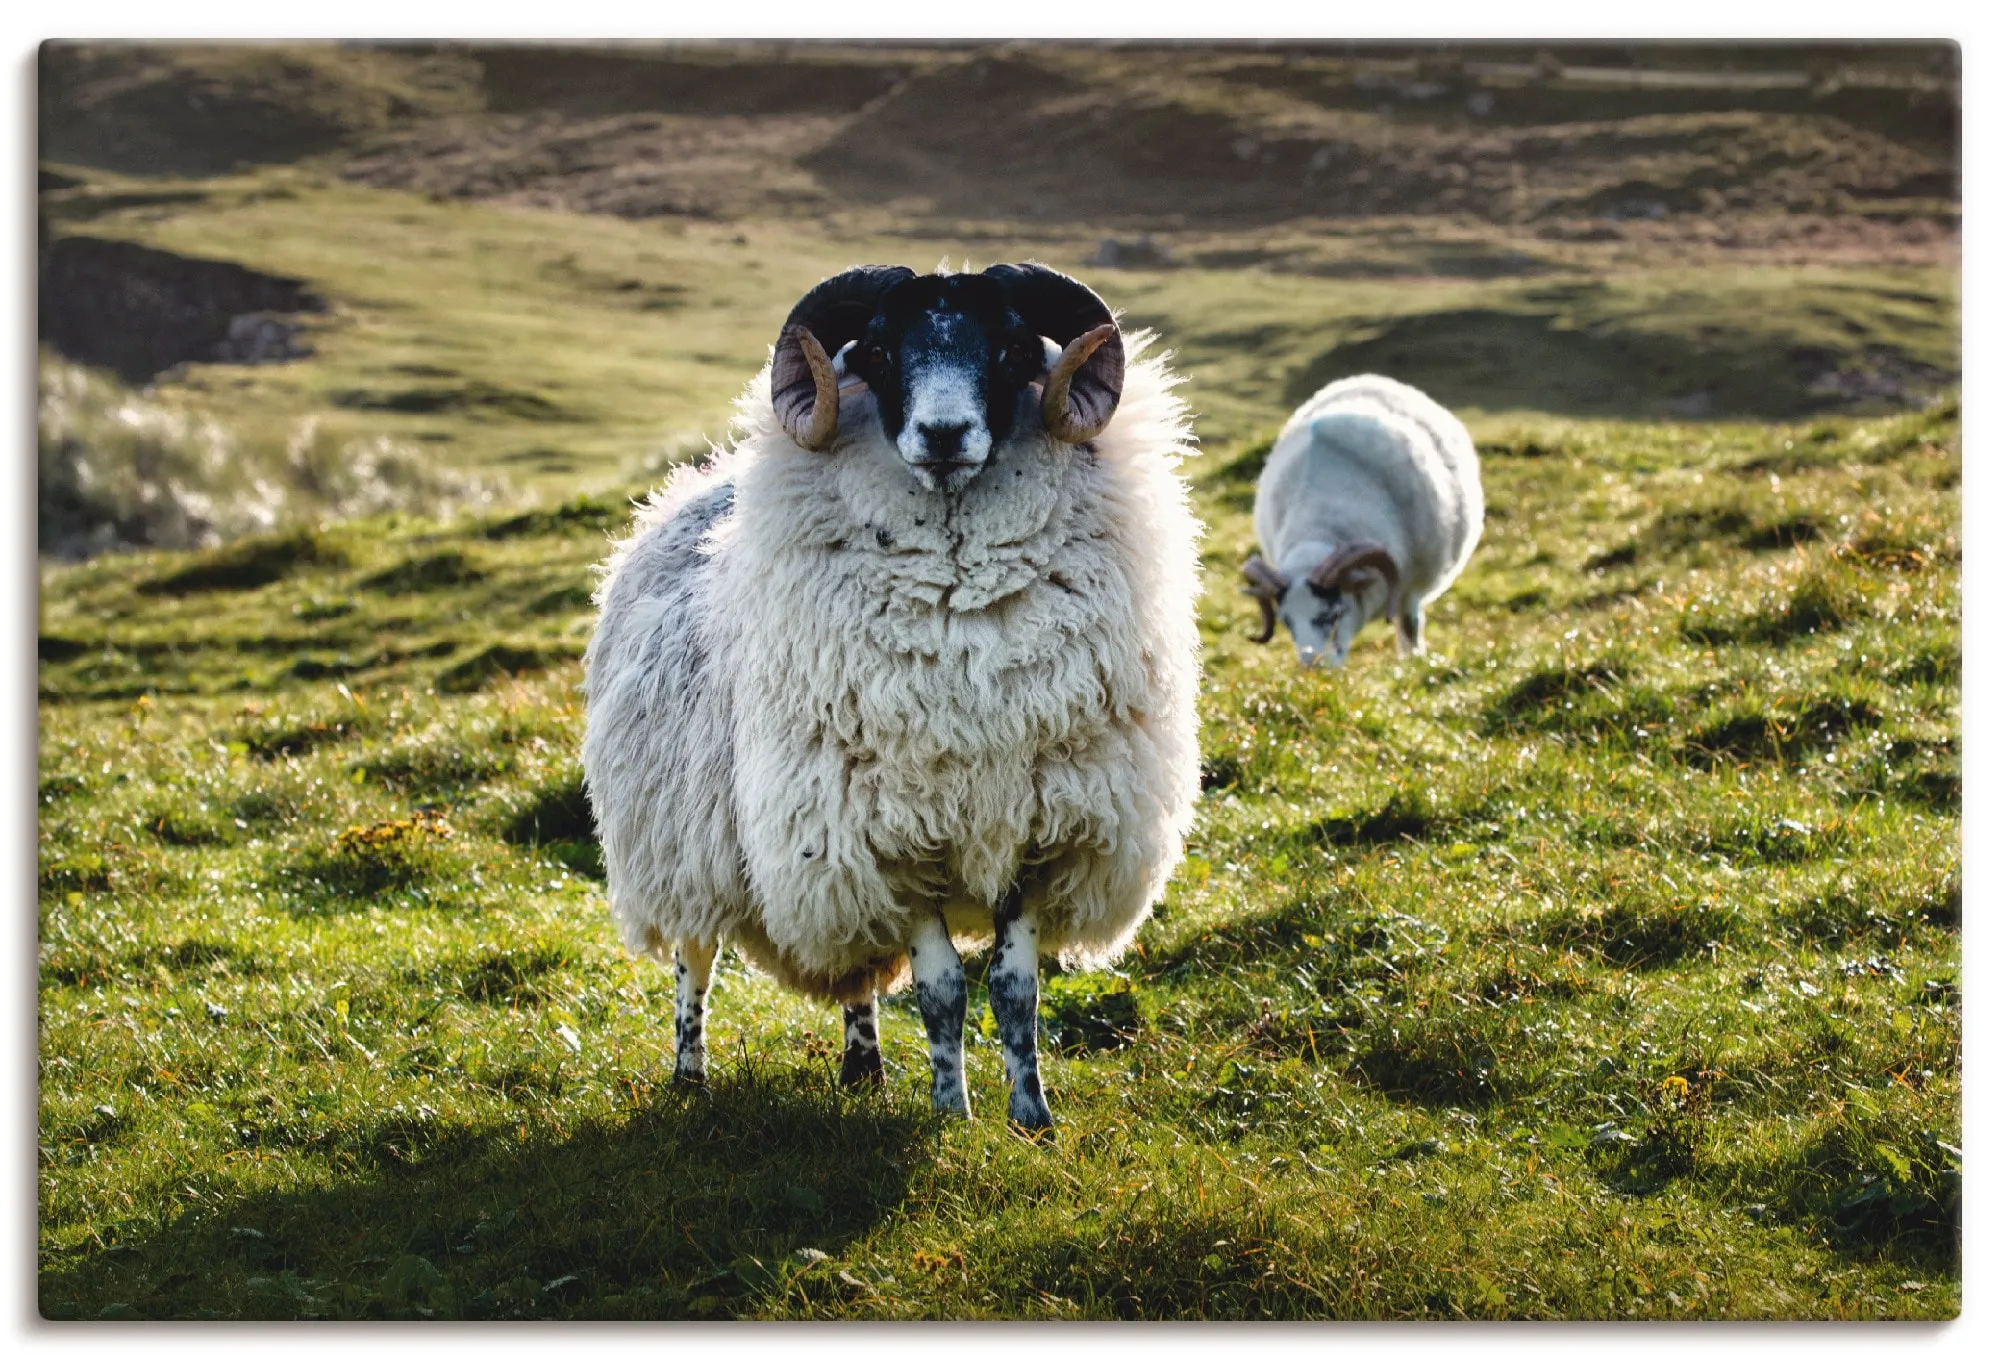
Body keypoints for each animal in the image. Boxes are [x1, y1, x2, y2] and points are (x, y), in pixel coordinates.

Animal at [580, 259, 1200, 1127]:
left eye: (1013, 348)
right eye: (876, 351)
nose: (943, 434)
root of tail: (683, 491)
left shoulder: (1041, 832)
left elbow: (1015, 989)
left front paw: (1032, 1116)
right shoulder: (889, 842)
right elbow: (942, 992)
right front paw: (951, 1113)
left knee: (858, 972)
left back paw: (863, 1067)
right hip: (684, 841)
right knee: (693, 964)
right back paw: (690, 1076)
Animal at [1232, 371, 1488, 667]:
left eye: (1333, 614)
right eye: (1287, 622)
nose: (1313, 666)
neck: (1319, 525)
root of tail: (1367, 377)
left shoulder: (1411, 584)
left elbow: (1409, 625)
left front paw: (1412, 662)